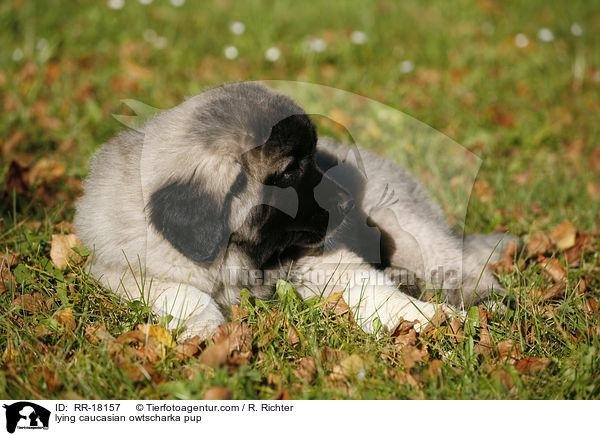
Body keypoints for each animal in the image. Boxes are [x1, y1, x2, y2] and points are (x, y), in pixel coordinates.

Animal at [72, 82, 508, 340]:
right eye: (289, 172)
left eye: (314, 159)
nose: (347, 202)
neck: (236, 251)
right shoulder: (119, 271)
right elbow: (181, 292)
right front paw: (206, 329)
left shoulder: (321, 256)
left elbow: (371, 287)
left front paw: (430, 317)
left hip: (402, 227)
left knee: (454, 262)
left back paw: (484, 299)